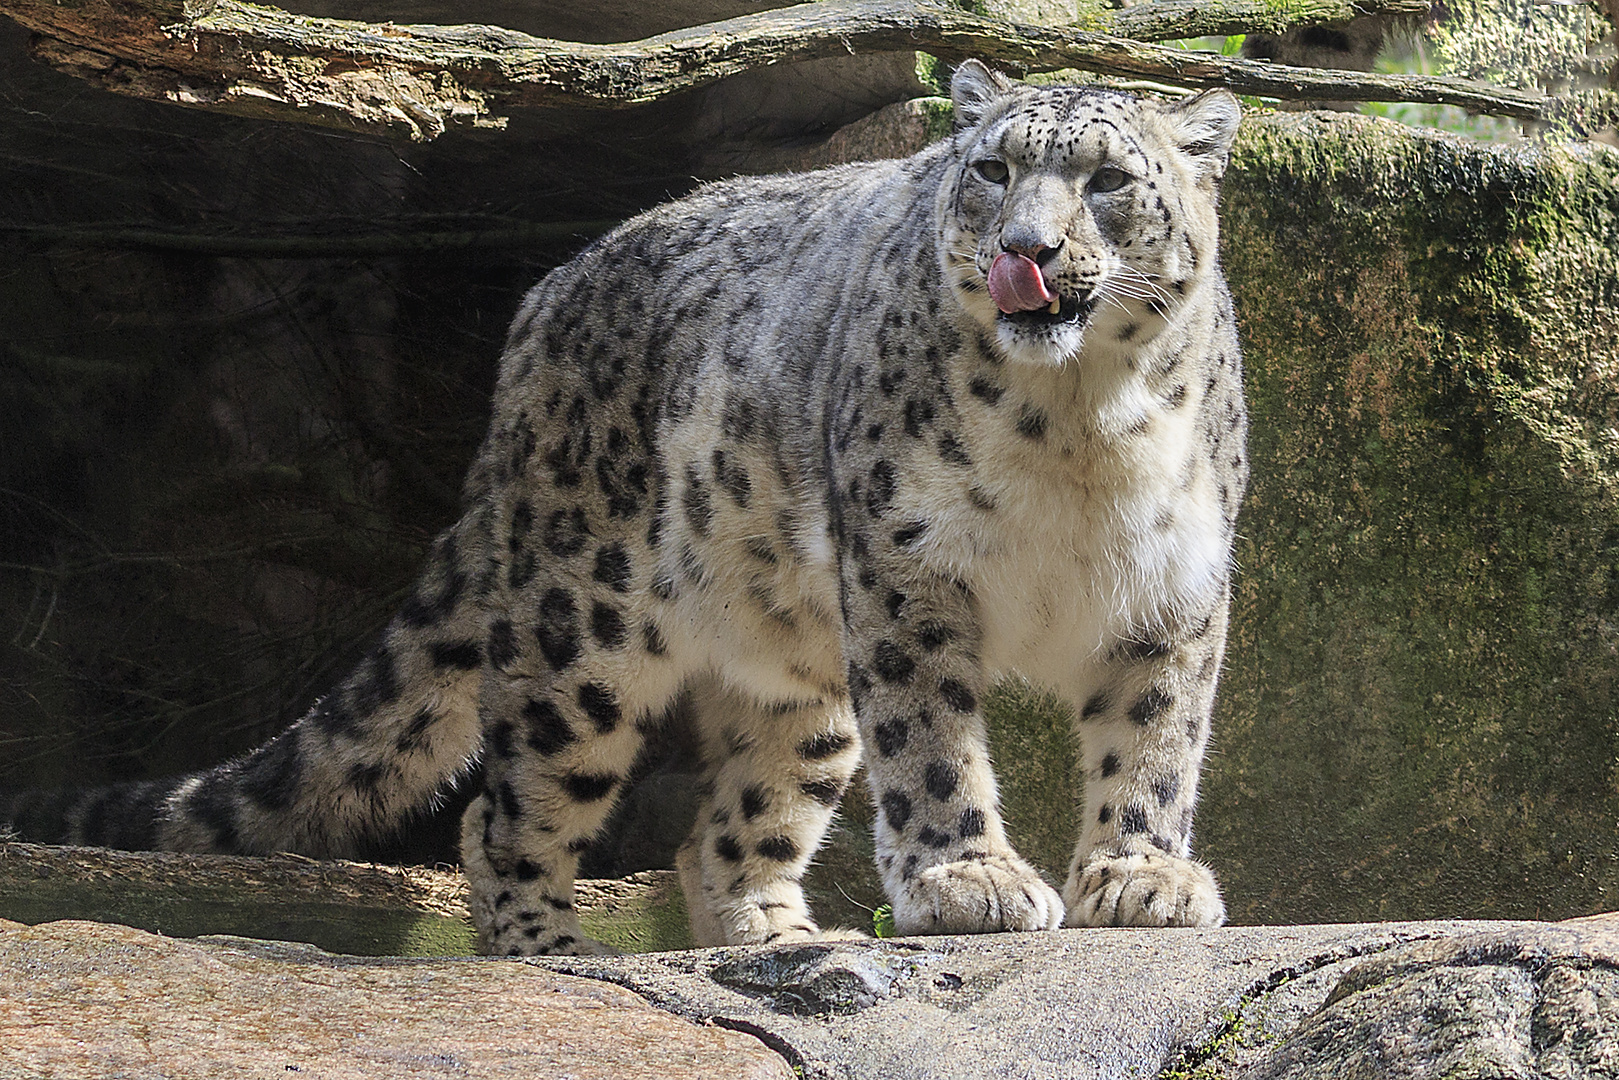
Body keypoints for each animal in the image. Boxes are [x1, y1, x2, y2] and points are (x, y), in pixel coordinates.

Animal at [0, 61, 1249, 952]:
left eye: (1106, 181)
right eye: (990, 170)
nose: (1025, 249)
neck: (1076, 426)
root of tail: (544, 299)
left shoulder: (1173, 587)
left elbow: (1155, 739)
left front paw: (1139, 878)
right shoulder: (905, 567)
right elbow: (931, 738)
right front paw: (968, 880)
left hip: (798, 667)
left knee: (732, 823)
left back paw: (774, 937)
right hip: (582, 627)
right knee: (506, 808)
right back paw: (552, 948)